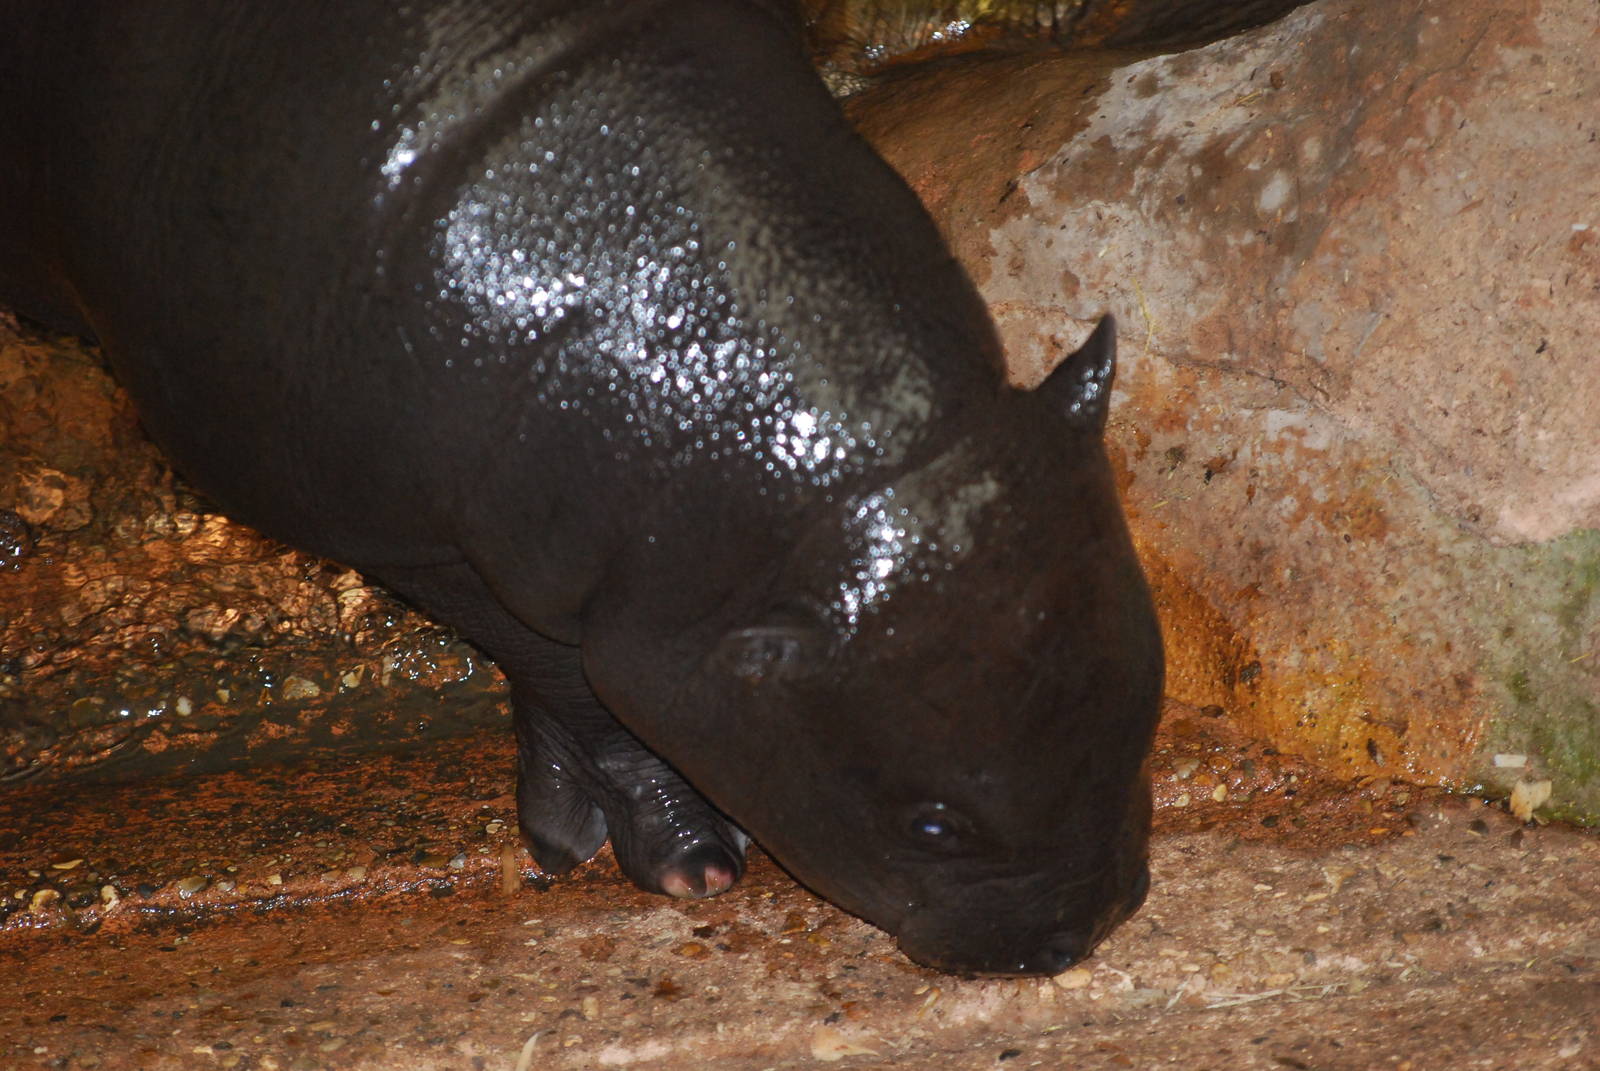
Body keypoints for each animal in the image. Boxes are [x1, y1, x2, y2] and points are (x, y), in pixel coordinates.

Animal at [0, 0, 1164, 974]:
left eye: (1147, 698)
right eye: (931, 824)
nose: (1085, 929)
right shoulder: (420, 541)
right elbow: (567, 673)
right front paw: (681, 858)